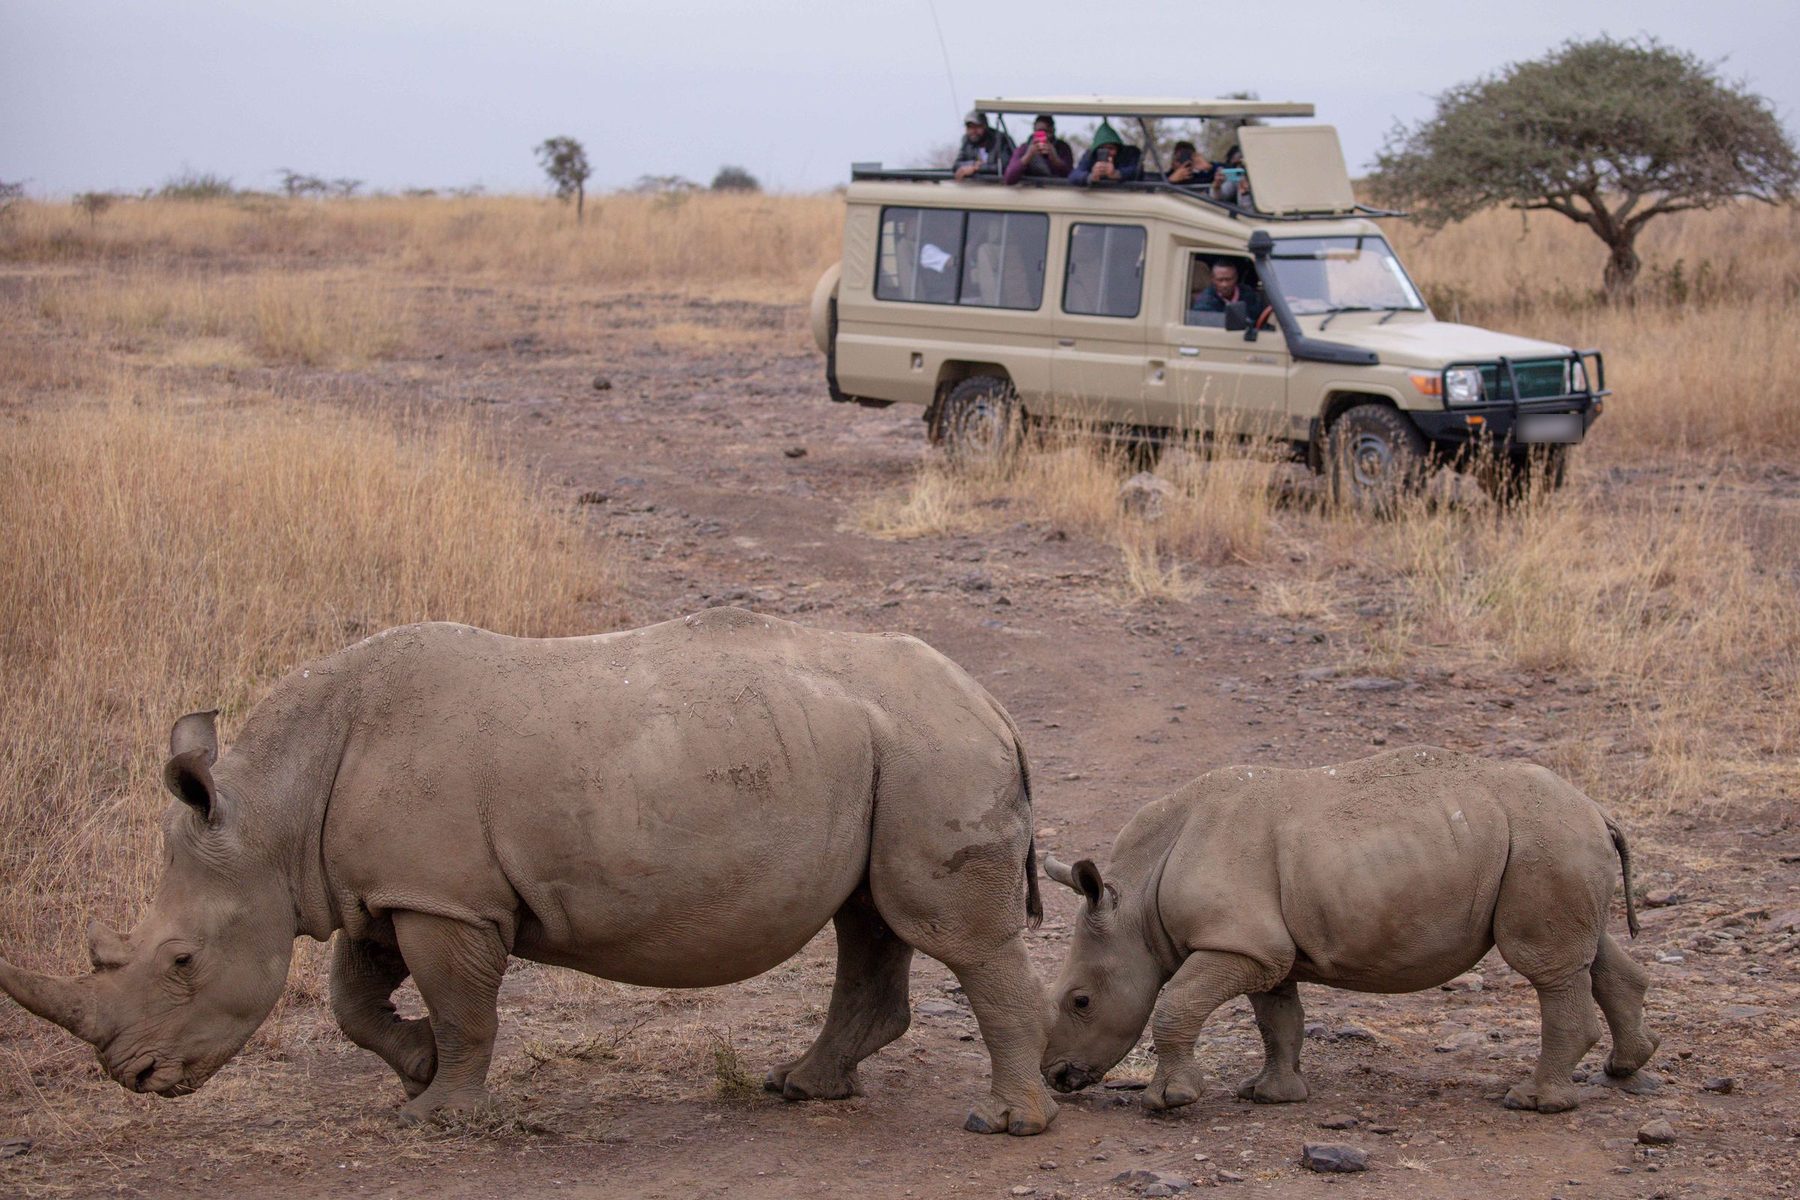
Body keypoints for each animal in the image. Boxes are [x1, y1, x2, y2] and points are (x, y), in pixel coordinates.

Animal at [0, 608, 1060, 1136]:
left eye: (180, 962)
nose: (134, 1077)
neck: (273, 811)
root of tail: (992, 702)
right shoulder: (393, 887)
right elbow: (352, 999)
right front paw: (416, 1072)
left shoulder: (447, 902)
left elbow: (464, 1007)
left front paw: (439, 1118)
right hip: (887, 751)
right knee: (870, 918)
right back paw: (801, 1088)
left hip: (932, 751)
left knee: (952, 936)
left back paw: (1003, 1124)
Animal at [1039, 747, 1657, 1116]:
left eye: (1081, 1001)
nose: (1056, 1077)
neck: (1135, 901)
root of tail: (1598, 810)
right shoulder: (1261, 949)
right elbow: (1278, 1020)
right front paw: (1271, 1096)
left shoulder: (1239, 943)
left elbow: (1175, 1004)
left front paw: (1170, 1100)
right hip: (1554, 843)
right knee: (1589, 951)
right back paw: (1627, 1066)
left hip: (1543, 839)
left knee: (1546, 967)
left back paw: (1533, 1103)